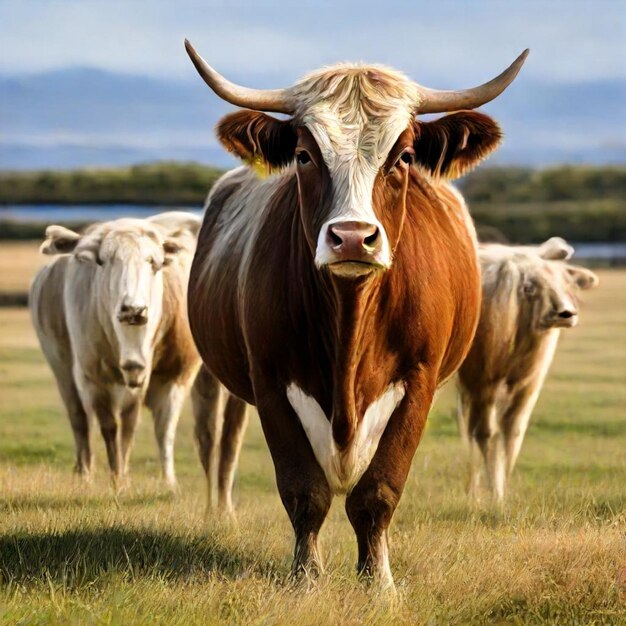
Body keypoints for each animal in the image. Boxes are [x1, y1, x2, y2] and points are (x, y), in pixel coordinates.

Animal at [30, 212, 201, 486]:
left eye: (153, 262)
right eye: (104, 261)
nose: (133, 309)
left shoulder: (156, 376)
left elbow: (136, 428)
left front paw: (146, 480)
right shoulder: (92, 378)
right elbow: (109, 427)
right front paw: (117, 478)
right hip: (62, 369)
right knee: (79, 419)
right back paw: (84, 473)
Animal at [184, 40, 528, 584]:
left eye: (404, 156)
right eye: (304, 155)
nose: (351, 237)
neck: (350, 321)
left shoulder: (420, 380)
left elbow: (379, 490)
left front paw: (378, 581)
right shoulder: (269, 380)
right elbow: (304, 490)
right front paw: (306, 578)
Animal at [456, 239, 596, 502]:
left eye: (565, 283)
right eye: (529, 288)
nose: (565, 314)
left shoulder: (529, 385)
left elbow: (513, 432)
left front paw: (502, 489)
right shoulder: (483, 381)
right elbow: (486, 433)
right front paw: (494, 494)